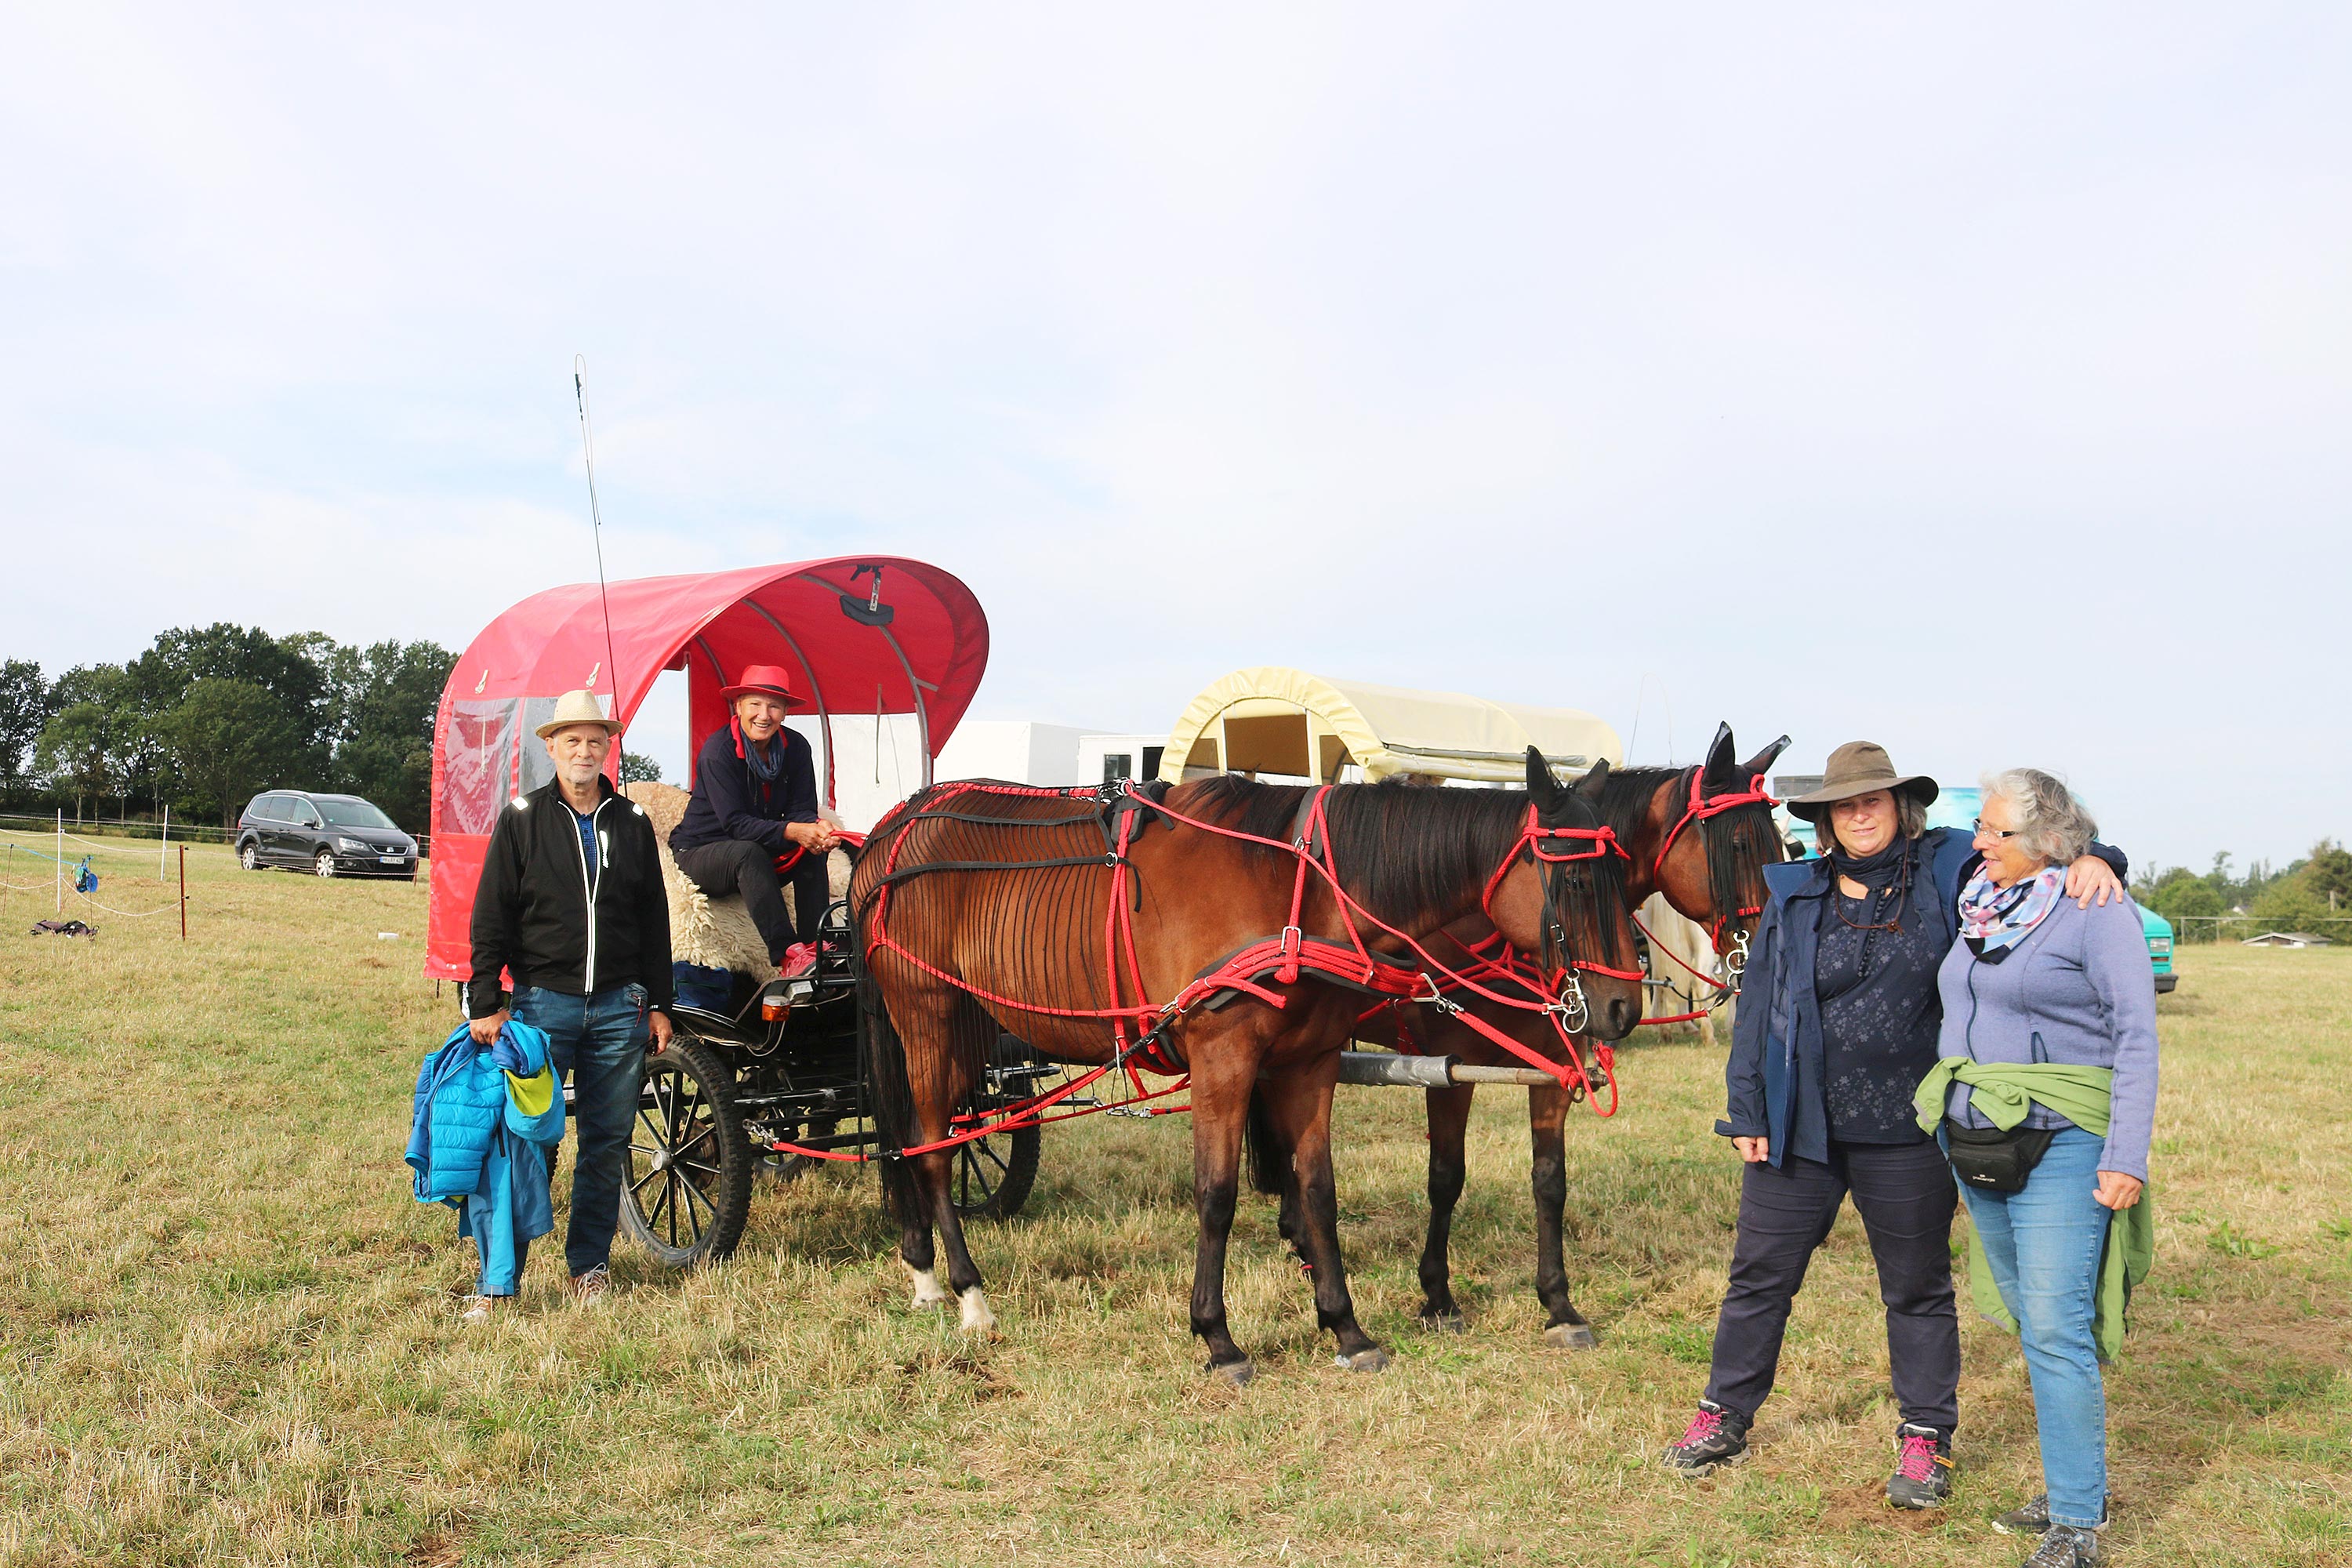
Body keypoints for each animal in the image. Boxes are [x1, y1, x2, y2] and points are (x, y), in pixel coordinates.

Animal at [856, 752, 1646, 1382]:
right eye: (1578, 884)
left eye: (1623, 874)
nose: (1621, 1009)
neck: (1298, 888)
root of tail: (895, 825)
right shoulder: (1223, 1060)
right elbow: (1217, 1195)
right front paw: (1218, 1338)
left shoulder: (1309, 1065)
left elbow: (1318, 1189)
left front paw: (1346, 1326)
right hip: (927, 1019)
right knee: (933, 1150)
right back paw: (965, 1292)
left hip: (962, 1030)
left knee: (922, 1142)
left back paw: (925, 1271)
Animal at [1364, 724, 1778, 1354]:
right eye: (1738, 845)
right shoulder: (1449, 1069)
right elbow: (1446, 1177)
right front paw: (1437, 1295)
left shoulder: (1554, 1065)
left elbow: (1550, 1181)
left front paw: (1558, 1304)